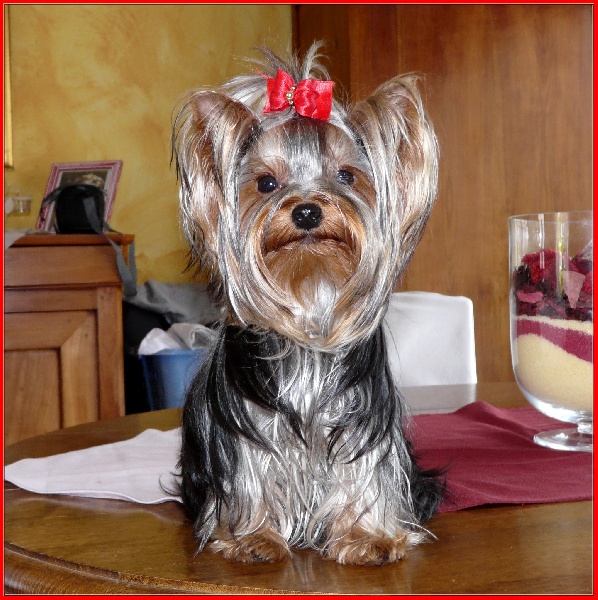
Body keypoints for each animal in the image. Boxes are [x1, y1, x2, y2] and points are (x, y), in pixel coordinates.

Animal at [172, 43, 443, 566]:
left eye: (346, 175)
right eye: (265, 184)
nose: (307, 211)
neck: (310, 294)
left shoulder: (361, 415)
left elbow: (364, 468)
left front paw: (368, 537)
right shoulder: (246, 420)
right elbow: (252, 468)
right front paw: (254, 537)